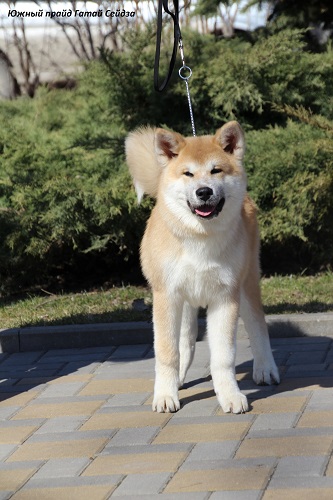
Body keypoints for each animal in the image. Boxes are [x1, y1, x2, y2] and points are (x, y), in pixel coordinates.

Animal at [126, 121, 278, 414]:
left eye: (216, 170)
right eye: (188, 173)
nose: (204, 191)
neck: (200, 238)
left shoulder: (226, 297)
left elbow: (223, 356)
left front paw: (230, 395)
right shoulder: (166, 296)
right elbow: (168, 352)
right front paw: (165, 395)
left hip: (247, 283)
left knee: (258, 325)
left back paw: (266, 369)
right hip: (184, 301)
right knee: (185, 341)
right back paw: (178, 379)